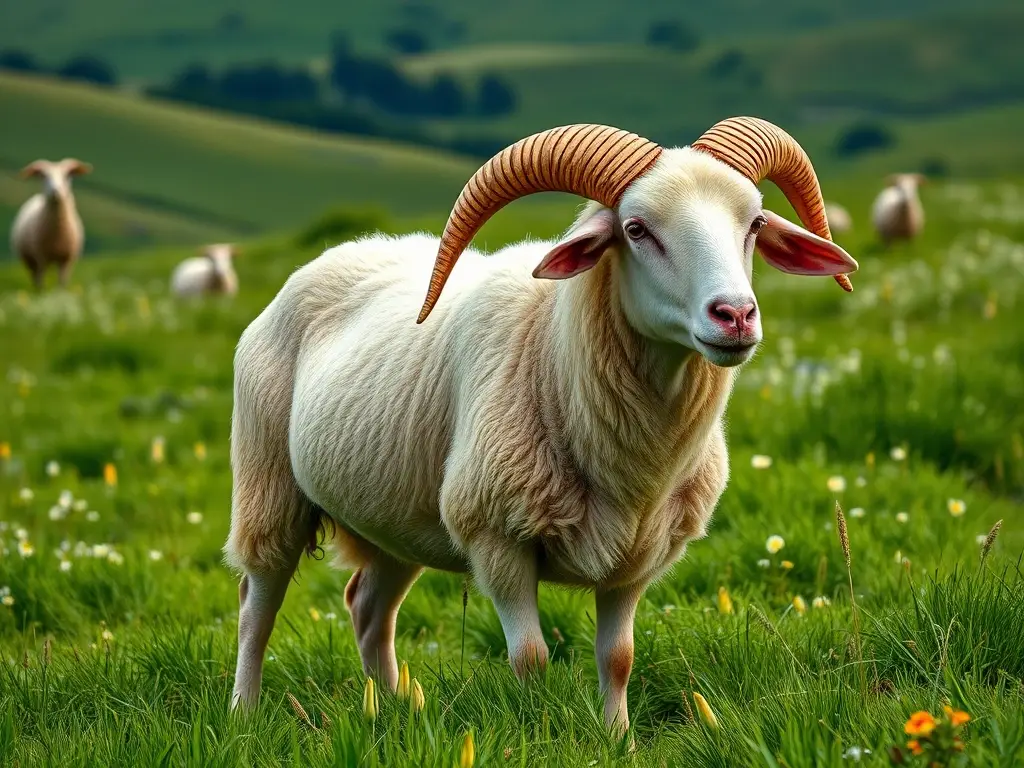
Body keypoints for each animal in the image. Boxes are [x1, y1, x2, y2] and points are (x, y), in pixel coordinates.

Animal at [10, 158, 92, 289]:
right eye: (44, 176)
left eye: (67, 175)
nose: (55, 191)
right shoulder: (41, 257)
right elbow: (41, 280)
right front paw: (41, 291)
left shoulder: (66, 260)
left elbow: (62, 282)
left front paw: (61, 292)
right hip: (29, 259)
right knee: (35, 276)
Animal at [224, 118, 858, 735]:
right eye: (635, 229)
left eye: (754, 223)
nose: (735, 315)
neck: (553, 356)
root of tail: (332, 255)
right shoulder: (497, 538)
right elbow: (530, 658)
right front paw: (538, 730)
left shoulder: (638, 557)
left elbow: (619, 657)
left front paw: (619, 739)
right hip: (268, 489)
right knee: (256, 607)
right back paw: (245, 715)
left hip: (395, 516)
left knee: (367, 608)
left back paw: (397, 712)